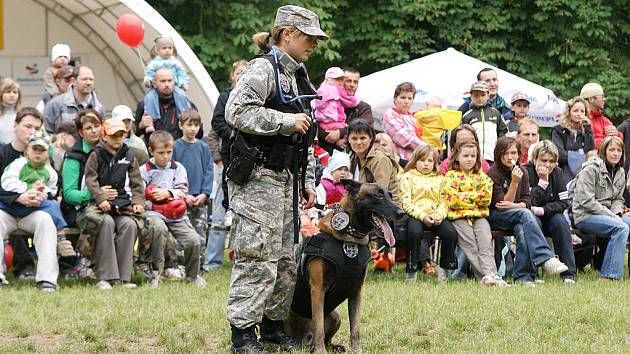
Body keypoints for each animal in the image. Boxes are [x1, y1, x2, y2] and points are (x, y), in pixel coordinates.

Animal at [286, 180, 404, 354]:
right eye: (378, 195)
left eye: (389, 195)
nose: (402, 213)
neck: (350, 237)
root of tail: (304, 340)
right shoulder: (317, 289)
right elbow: (319, 327)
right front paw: (320, 351)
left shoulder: (356, 291)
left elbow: (355, 328)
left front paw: (357, 350)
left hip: (335, 317)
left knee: (328, 339)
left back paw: (335, 347)